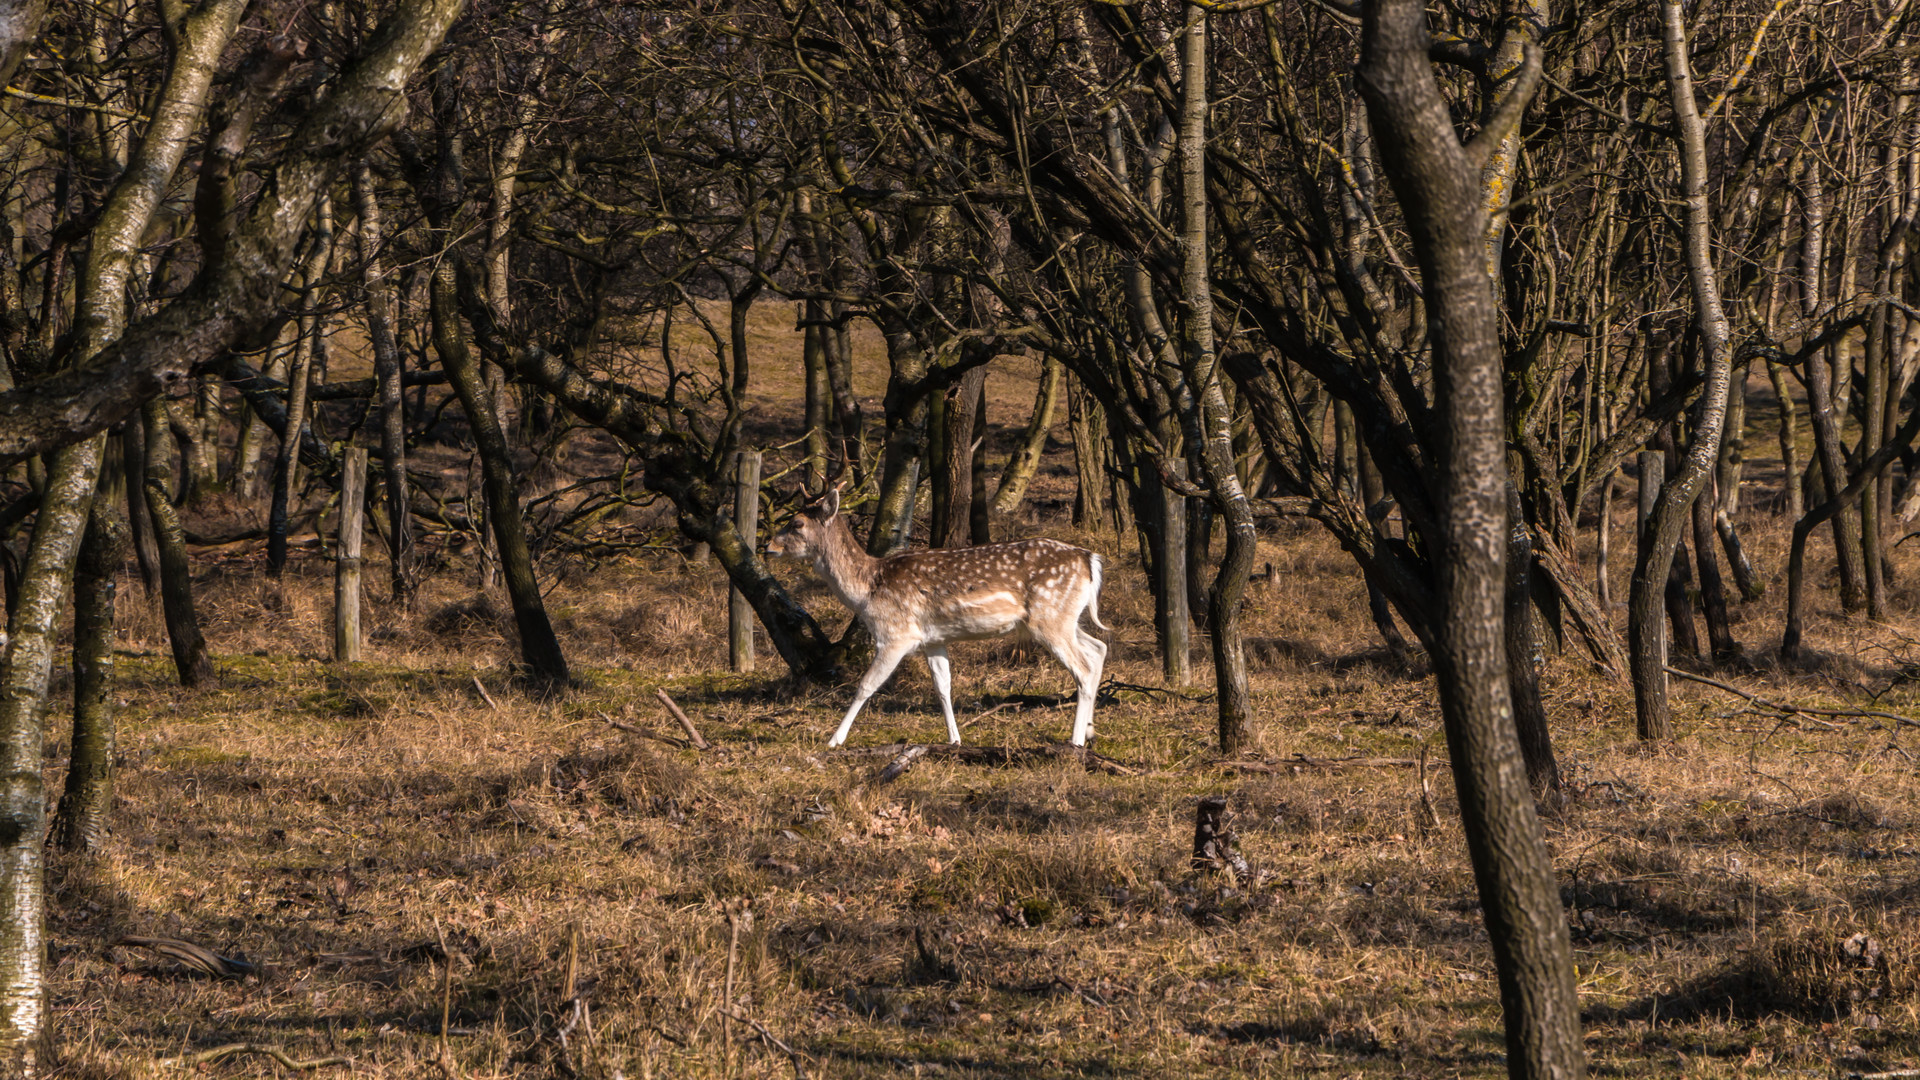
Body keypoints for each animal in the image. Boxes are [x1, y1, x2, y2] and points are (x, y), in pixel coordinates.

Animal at [768, 486, 1113, 745]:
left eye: (796, 524)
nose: (768, 546)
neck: (867, 590)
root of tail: (1090, 559)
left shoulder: (895, 634)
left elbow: (865, 686)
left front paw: (834, 740)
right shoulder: (933, 639)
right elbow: (943, 687)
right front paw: (954, 739)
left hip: (1050, 617)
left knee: (1083, 669)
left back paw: (1075, 741)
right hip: (1063, 617)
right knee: (1098, 648)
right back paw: (1090, 732)